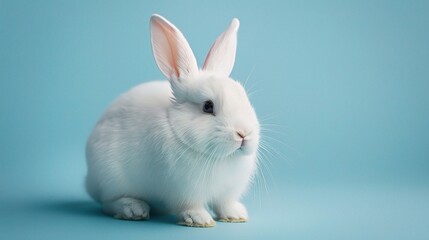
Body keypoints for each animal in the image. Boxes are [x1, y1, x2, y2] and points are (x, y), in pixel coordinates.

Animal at [83, 14, 258, 228]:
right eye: (208, 106)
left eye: (244, 98)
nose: (244, 134)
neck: (221, 158)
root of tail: (89, 180)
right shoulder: (185, 191)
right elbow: (190, 206)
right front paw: (199, 219)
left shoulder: (226, 193)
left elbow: (224, 203)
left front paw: (236, 215)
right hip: (111, 178)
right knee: (108, 203)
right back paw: (133, 209)